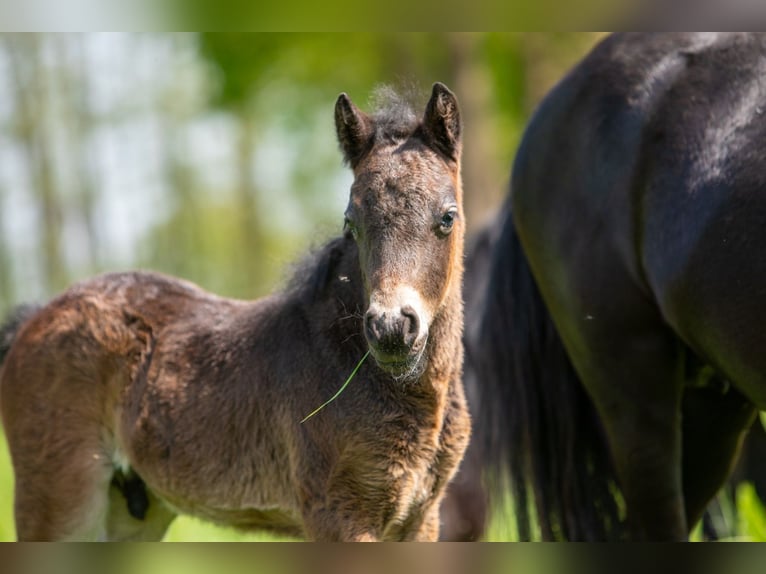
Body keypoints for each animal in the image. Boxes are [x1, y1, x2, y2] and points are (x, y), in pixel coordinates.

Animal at [0, 82, 471, 541]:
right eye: (350, 223)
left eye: (447, 217)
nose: (391, 329)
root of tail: (35, 318)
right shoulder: (338, 515)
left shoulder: (421, 519)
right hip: (60, 503)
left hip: (132, 511)